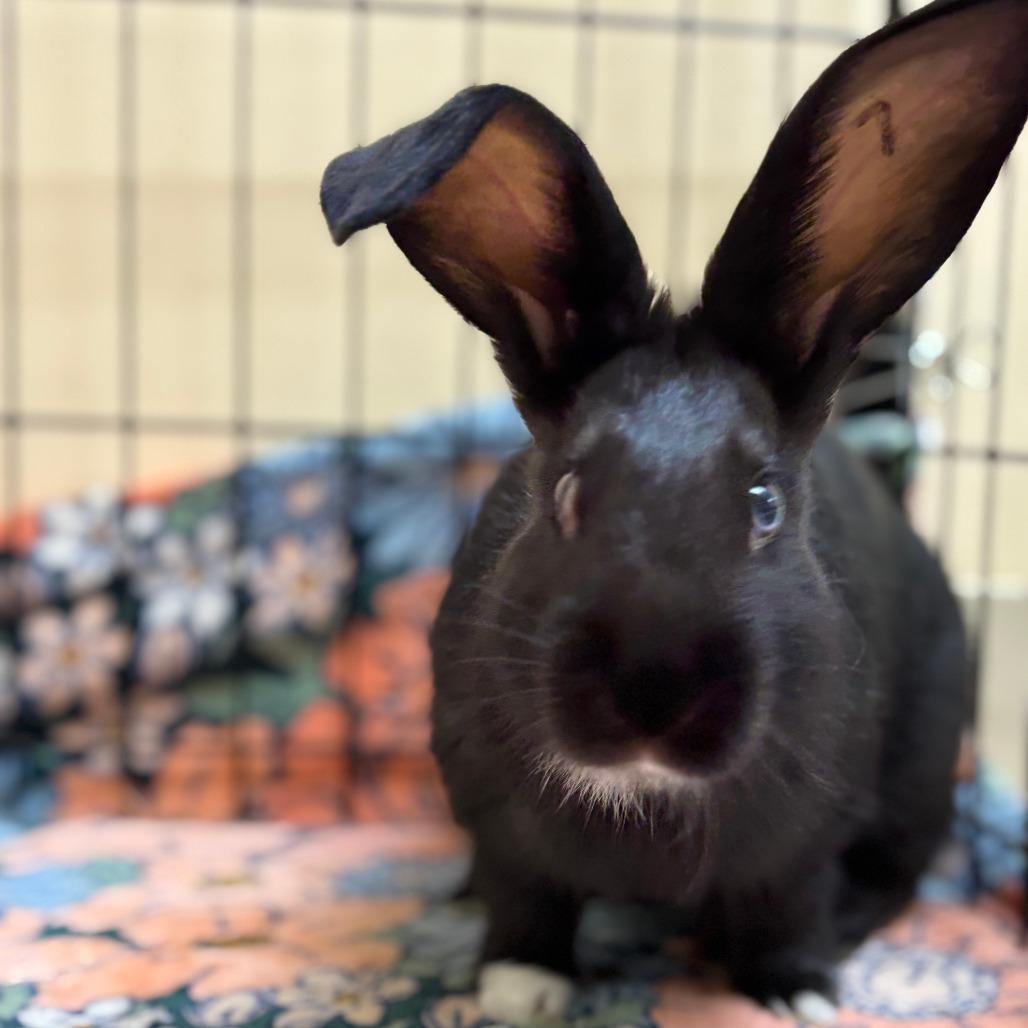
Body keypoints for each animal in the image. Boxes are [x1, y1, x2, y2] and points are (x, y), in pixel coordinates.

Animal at [320, 0, 1028, 1022]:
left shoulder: (807, 841)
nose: (653, 692)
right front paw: (519, 990)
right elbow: (525, 903)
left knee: (894, 874)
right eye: (566, 491)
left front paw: (796, 991)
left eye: (765, 504)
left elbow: (787, 908)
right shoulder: (499, 828)